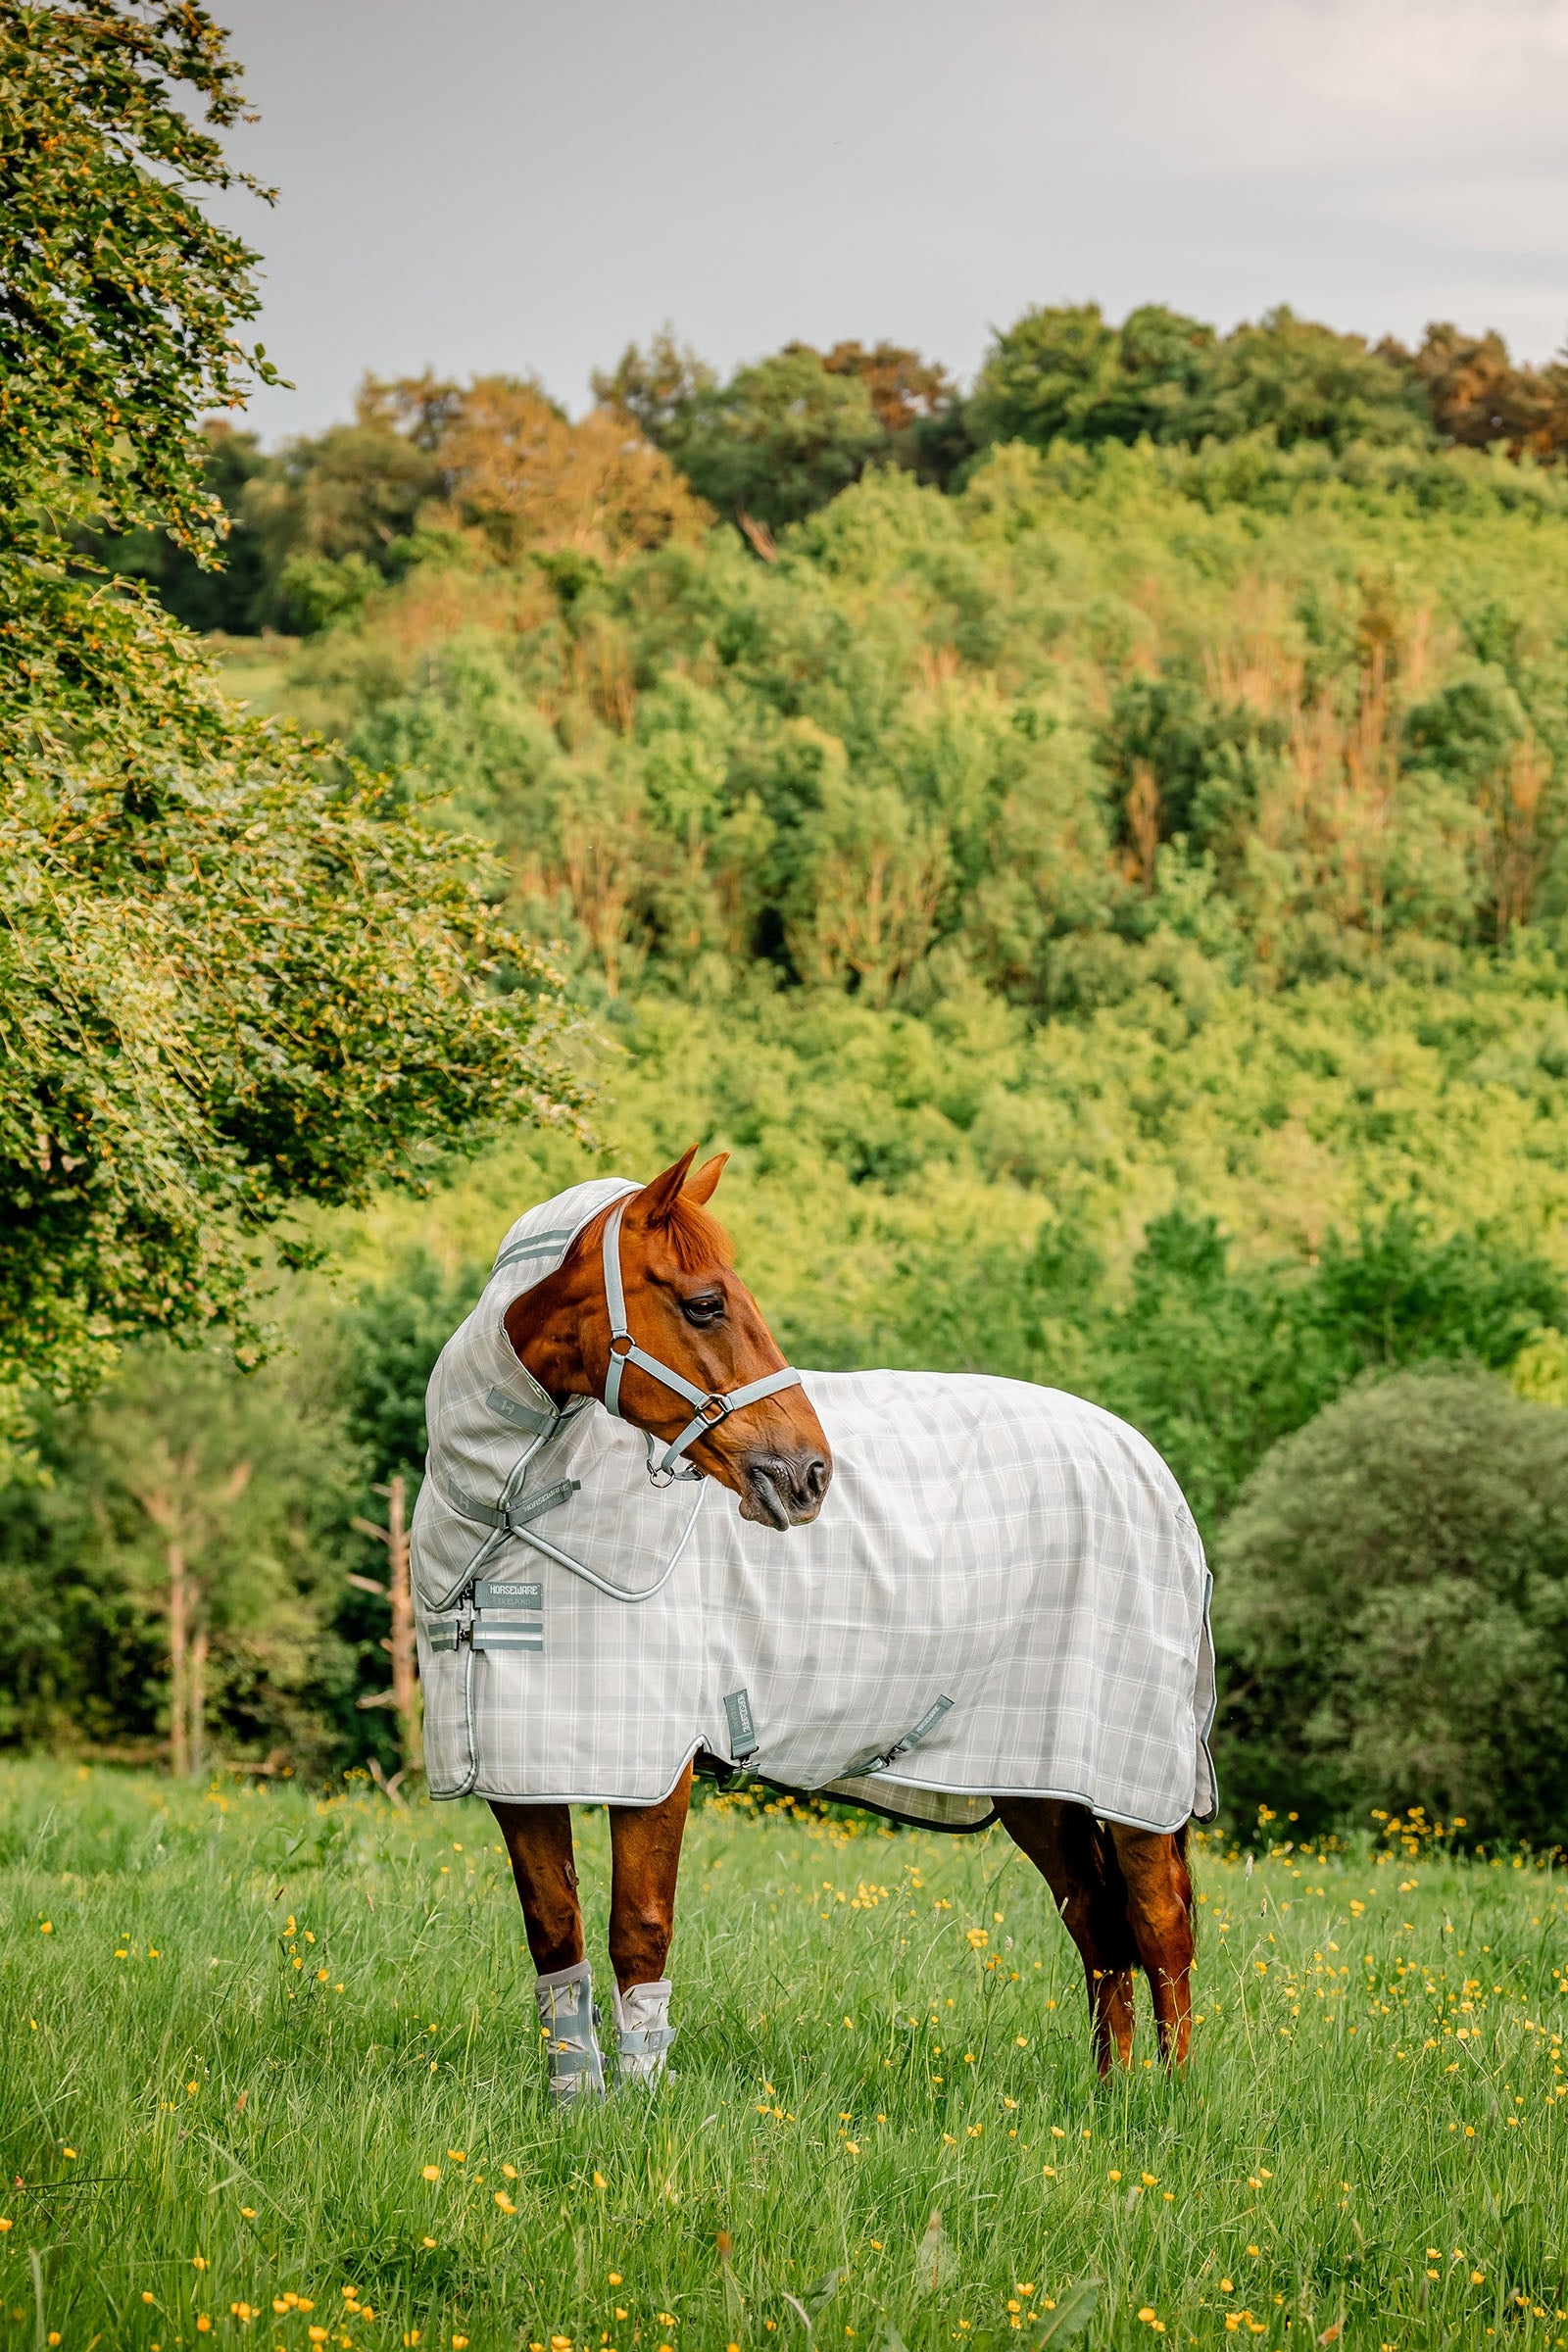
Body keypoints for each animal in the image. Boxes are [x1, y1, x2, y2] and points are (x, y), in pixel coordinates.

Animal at [416, 1147, 1208, 2095]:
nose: (808, 1475)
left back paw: (1171, 2101)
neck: (507, 1520)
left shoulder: (656, 1771)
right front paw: (576, 2106)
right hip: (1036, 1779)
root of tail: (1149, 1468)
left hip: (1133, 1779)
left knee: (1159, 1922)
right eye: (706, 1303)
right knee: (1095, 1921)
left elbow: (639, 1929)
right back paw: (1109, 2096)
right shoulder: (524, 1774)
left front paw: (640, 2106)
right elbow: (555, 1937)